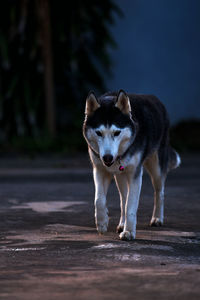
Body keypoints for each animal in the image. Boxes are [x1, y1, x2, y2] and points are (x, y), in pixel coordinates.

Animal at [82, 90, 180, 240]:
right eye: (98, 133)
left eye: (117, 133)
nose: (108, 157)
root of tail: (155, 99)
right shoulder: (99, 170)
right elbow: (99, 199)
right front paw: (102, 223)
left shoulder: (135, 174)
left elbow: (131, 205)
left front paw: (128, 232)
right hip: (120, 175)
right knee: (123, 198)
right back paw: (122, 223)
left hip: (156, 168)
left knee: (159, 192)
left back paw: (157, 218)